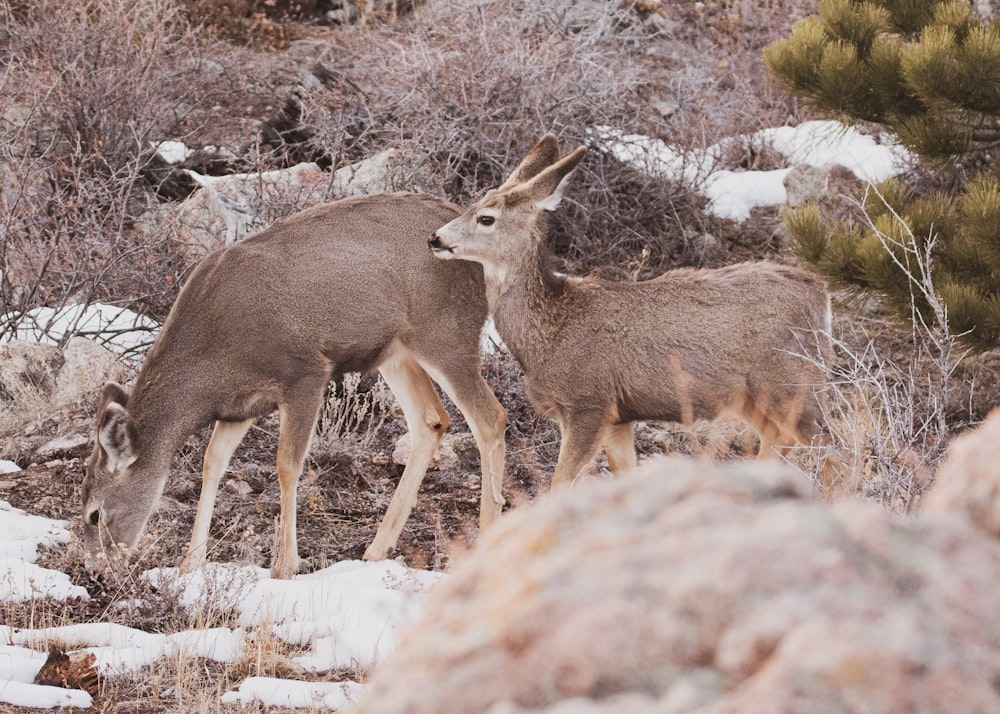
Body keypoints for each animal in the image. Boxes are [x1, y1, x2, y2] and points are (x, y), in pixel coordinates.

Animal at [82, 191, 508, 580]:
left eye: (93, 514)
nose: (96, 571)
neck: (212, 365)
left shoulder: (305, 373)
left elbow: (287, 465)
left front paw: (284, 565)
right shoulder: (239, 406)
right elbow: (212, 463)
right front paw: (190, 564)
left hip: (446, 331)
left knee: (491, 417)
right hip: (396, 351)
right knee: (432, 420)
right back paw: (376, 548)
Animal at [430, 134, 828, 486]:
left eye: (486, 218)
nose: (435, 238)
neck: (551, 329)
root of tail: (820, 294)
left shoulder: (589, 402)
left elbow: (559, 484)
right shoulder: (619, 418)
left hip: (789, 383)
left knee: (829, 448)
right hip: (752, 397)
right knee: (782, 441)